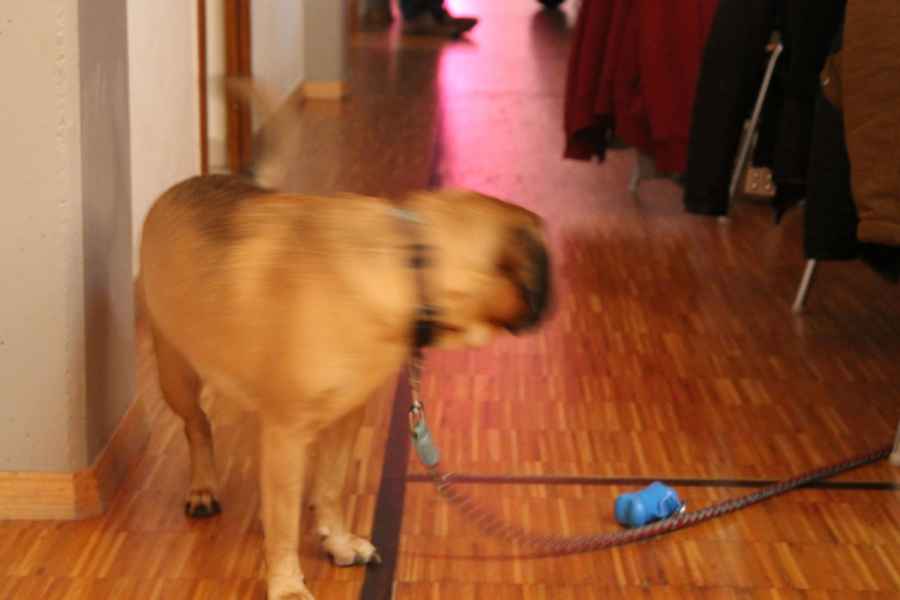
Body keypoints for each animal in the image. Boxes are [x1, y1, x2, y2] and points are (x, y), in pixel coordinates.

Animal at [137, 82, 551, 600]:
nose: (552, 301)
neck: (412, 264)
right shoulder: (286, 433)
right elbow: (281, 519)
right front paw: (286, 582)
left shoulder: (345, 418)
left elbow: (331, 487)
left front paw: (336, 539)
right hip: (175, 373)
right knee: (199, 426)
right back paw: (203, 487)